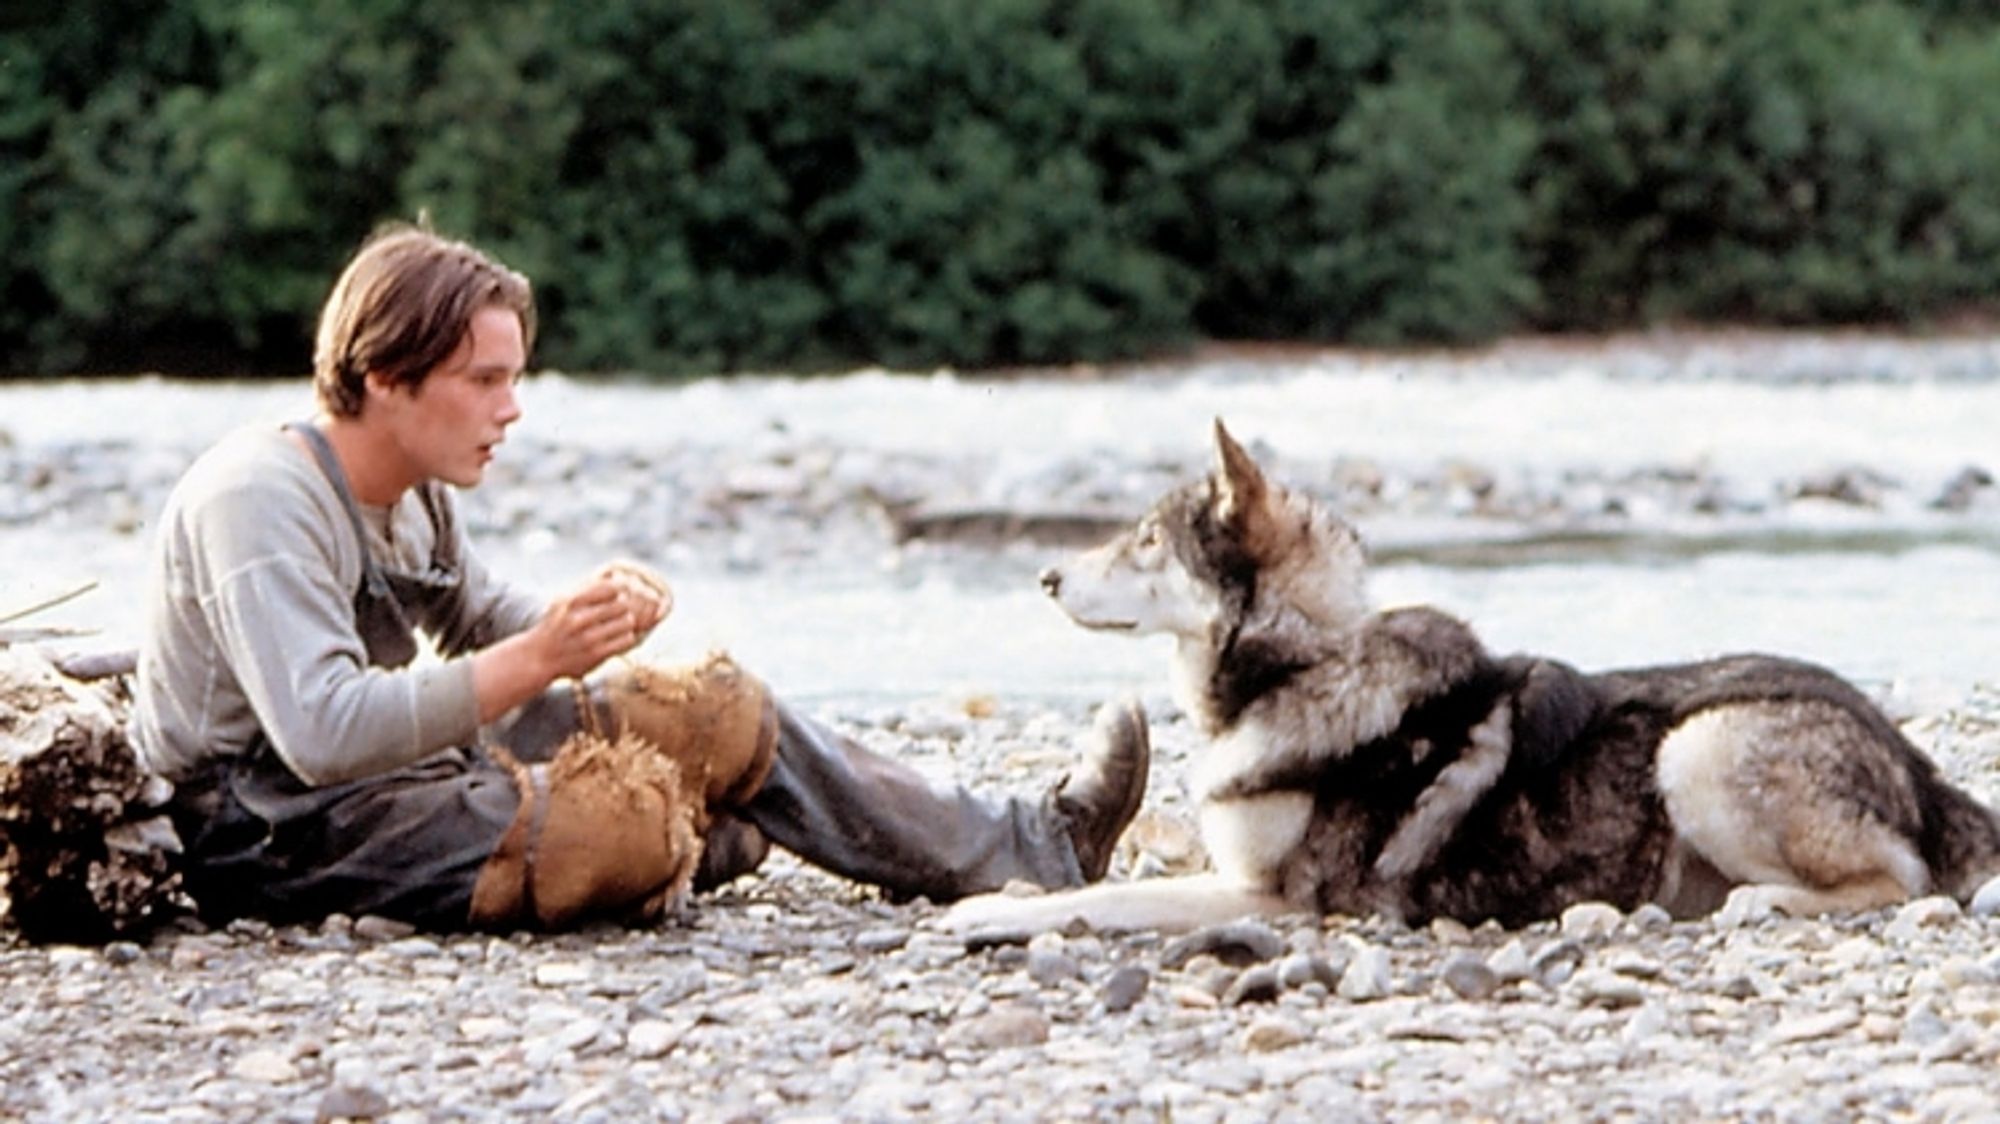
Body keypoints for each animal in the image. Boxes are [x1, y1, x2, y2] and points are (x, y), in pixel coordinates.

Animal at [944, 424, 2000, 932]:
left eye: (1147, 541)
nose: (1043, 578)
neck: (1306, 666)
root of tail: (1917, 764)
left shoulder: (1276, 901)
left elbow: (1100, 900)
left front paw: (998, 914)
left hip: (1698, 748)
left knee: (1903, 881)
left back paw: (1767, 902)